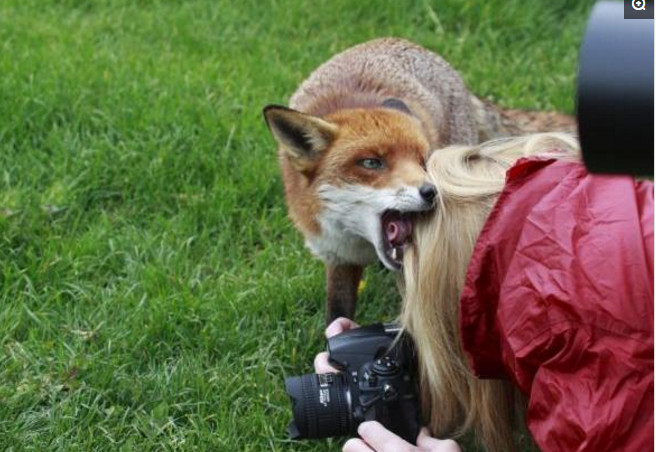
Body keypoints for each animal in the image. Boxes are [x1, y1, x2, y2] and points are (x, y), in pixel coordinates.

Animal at [262, 37, 576, 324]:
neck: (360, 241)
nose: (432, 191)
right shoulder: (338, 255)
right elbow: (337, 314)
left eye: (424, 162)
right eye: (371, 163)